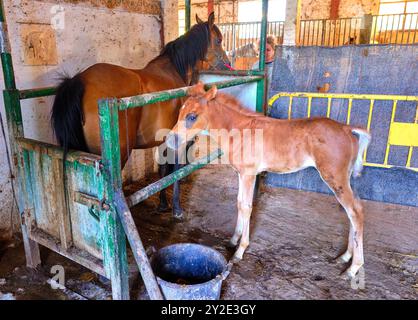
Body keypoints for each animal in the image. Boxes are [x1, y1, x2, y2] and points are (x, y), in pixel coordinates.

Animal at [165, 83, 370, 280]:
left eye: (192, 116)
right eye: (180, 112)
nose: (169, 141)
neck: (240, 130)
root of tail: (346, 128)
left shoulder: (249, 174)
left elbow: (247, 207)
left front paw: (239, 251)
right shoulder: (241, 174)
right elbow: (239, 203)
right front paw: (233, 240)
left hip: (334, 177)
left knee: (355, 212)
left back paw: (353, 268)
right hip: (345, 178)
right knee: (353, 210)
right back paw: (345, 256)